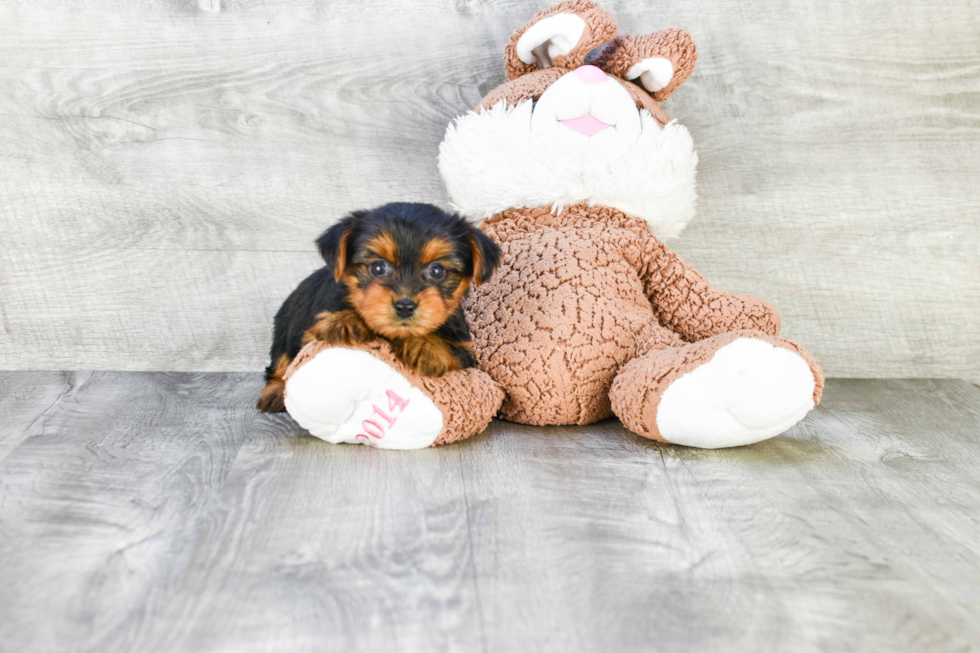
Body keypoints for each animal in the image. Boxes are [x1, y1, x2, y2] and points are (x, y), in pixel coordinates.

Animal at [256, 201, 502, 410]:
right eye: (378, 268)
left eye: (436, 270)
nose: (405, 306)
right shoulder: (311, 332)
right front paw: (346, 320)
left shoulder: (465, 350)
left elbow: (451, 350)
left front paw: (428, 346)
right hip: (285, 329)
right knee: (280, 362)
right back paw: (275, 392)